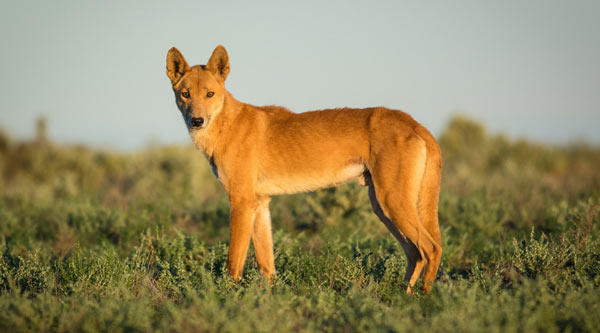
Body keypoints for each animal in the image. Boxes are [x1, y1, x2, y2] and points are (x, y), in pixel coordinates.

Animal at [166, 45, 442, 292]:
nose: (197, 121)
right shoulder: (260, 203)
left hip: (391, 202)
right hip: (382, 207)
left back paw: (424, 299)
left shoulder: (241, 202)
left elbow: (234, 262)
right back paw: (403, 296)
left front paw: (228, 298)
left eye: (210, 94)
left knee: (431, 248)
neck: (226, 124)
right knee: (414, 253)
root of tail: (415, 123)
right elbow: (267, 265)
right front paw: (268, 299)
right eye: (186, 94)